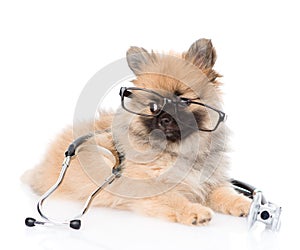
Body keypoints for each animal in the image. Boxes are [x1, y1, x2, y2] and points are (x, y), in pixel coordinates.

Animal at [22, 38, 251, 226]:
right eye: (153, 106)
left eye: (184, 101)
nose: (165, 119)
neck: (177, 151)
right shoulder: (151, 189)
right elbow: (174, 199)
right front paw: (194, 211)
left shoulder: (211, 182)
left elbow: (225, 193)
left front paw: (246, 205)